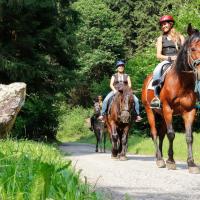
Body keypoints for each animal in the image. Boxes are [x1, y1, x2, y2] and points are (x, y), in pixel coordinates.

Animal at [141, 24, 200, 173]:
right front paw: (171, 161)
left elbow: (189, 137)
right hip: (150, 111)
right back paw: (159, 159)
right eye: (193, 49)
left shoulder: (189, 111)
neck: (182, 82)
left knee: (161, 134)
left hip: (162, 115)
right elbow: (171, 134)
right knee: (155, 133)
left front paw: (191, 163)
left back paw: (162, 157)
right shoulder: (168, 109)